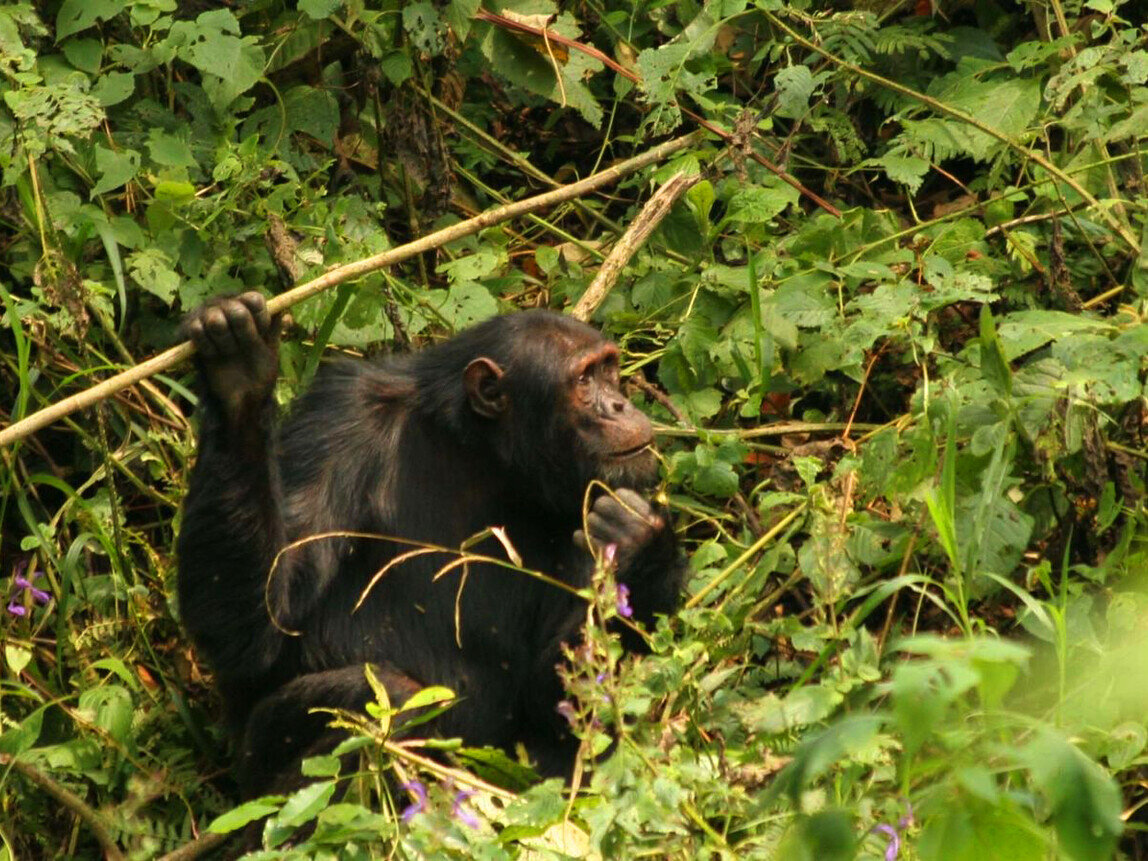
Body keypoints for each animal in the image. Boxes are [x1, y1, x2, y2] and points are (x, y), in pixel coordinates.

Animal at [174, 293, 684, 799]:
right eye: (583, 380)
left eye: (609, 370)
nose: (618, 404)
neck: (482, 454)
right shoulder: (340, 418)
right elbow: (264, 623)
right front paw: (237, 377)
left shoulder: (592, 495)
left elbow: (559, 704)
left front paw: (641, 547)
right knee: (387, 695)